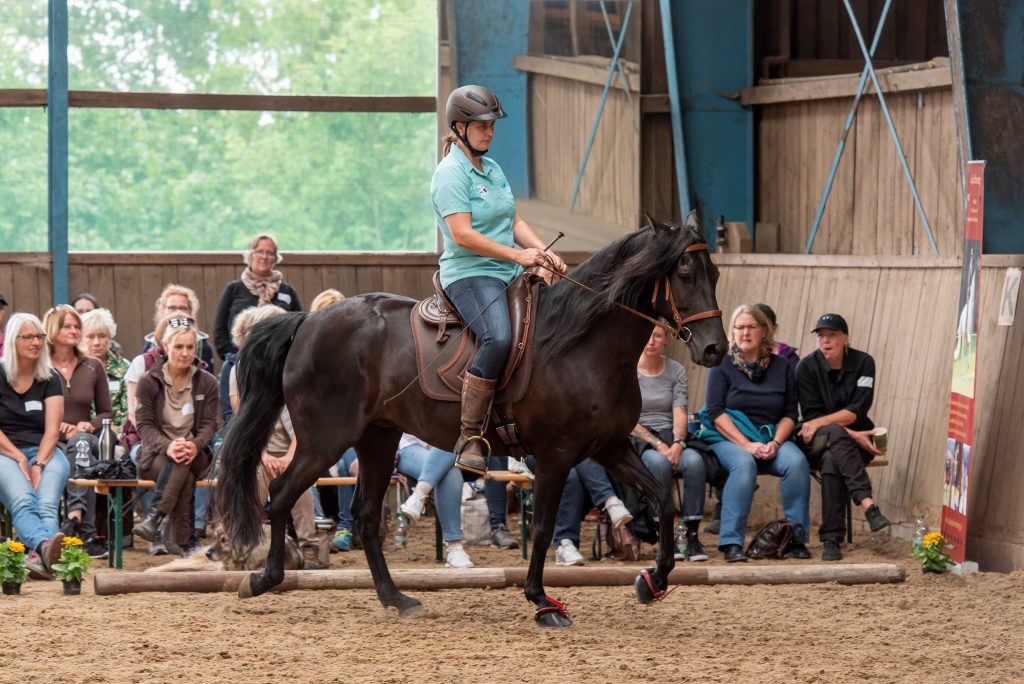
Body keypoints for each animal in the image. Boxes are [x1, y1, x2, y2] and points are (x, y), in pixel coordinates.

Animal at [216, 214, 729, 626]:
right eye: (684, 273)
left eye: (716, 272)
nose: (714, 350)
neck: (581, 346)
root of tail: (307, 322)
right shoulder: (558, 456)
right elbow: (542, 529)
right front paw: (542, 602)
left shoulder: (610, 447)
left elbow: (662, 500)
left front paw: (652, 580)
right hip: (325, 440)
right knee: (281, 494)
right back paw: (264, 579)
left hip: (377, 439)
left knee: (363, 516)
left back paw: (396, 599)